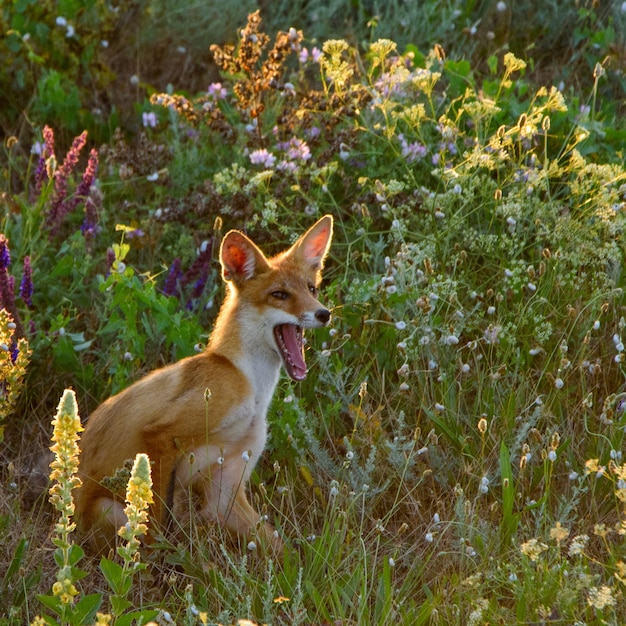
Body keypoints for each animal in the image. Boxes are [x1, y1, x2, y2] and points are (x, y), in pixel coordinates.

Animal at [74, 214, 332, 552]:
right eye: (279, 294)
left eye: (312, 289)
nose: (324, 313)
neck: (251, 387)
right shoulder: (161, 434)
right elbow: (155, 529)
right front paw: (160, 564)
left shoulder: (226, 488)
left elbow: (283, 550)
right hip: (111, 509)